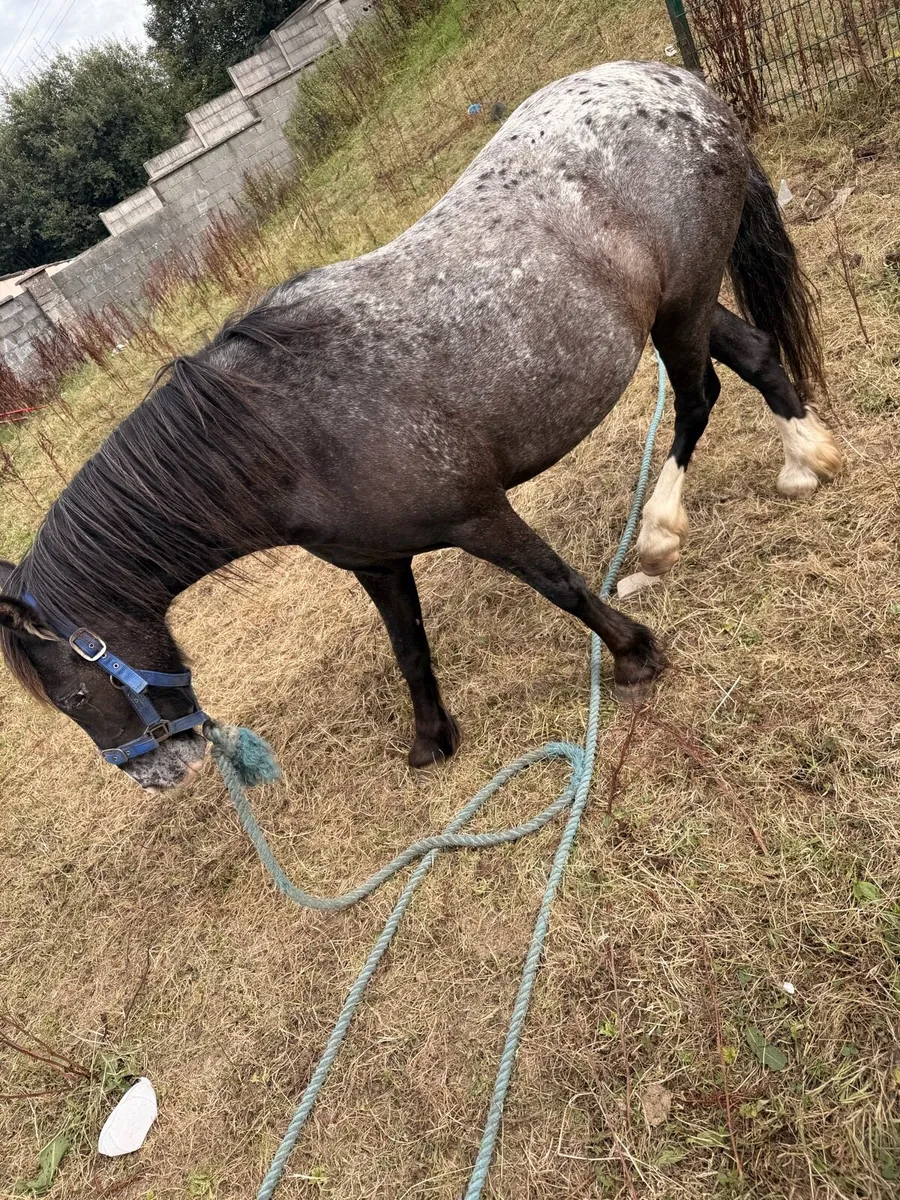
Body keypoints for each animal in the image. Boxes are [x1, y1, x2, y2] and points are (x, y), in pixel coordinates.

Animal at [0, 61, 841, 791]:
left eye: (75, 698)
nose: (156, 773)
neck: (289, 431)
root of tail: (675, 84)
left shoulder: (479, 515)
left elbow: (559, 583)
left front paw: (634, 654)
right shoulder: (378, 562)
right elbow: (408, 648)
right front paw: (432, 739)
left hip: (684, 306)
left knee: (699, 396)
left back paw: (662, 533)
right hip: (681, 303)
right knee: (757, 356)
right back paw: (806, 461)